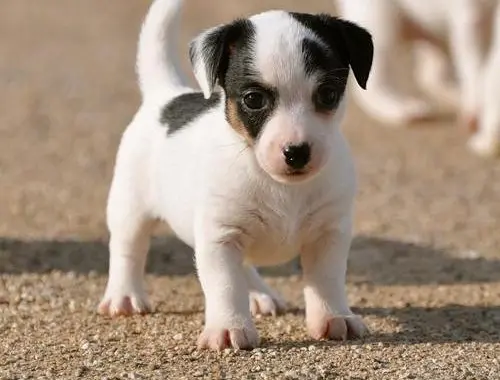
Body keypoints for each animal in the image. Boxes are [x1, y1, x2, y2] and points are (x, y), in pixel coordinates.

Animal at [97, 0, 374, 350]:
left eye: (327, 94)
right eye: (253, 99)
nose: (297, 151)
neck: (278, 184)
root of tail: (167, 95)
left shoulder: (328, 234)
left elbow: (327, 279)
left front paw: (334, 316)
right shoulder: (220, 237)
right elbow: (226, 285)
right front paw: (229, 327)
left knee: (245, 267)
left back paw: (259, 293)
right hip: (129, 207)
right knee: (127, 249)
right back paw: (124, 295)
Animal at [336, 0, 500, 157]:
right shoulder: (470, 16)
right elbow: (475, 62)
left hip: (434, 41)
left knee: (429, 75)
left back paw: (454, 98)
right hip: (378, 20)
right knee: (374, 79)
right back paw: (411, 111)